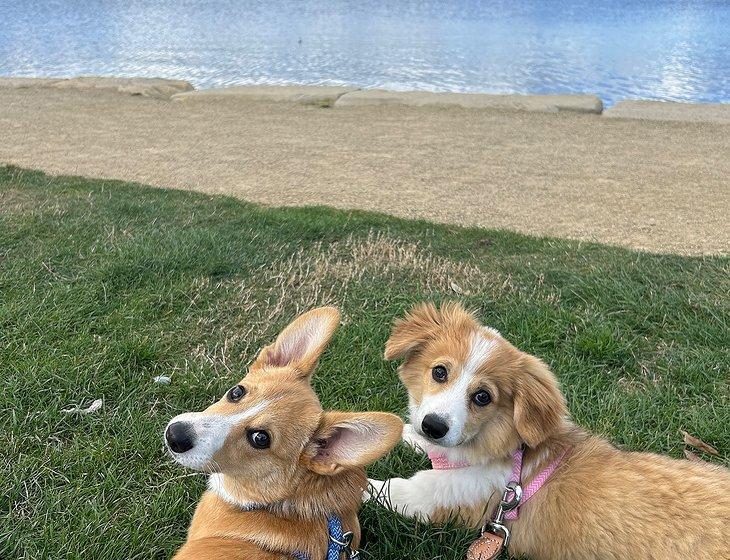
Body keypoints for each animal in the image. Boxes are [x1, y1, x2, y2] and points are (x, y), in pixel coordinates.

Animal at [370, 302, 728, 560]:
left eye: (483, 397)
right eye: (440, 372)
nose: (433, 426)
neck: (509, 453)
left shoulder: (431, 498)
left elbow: (378, 487)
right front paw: (395, 431)